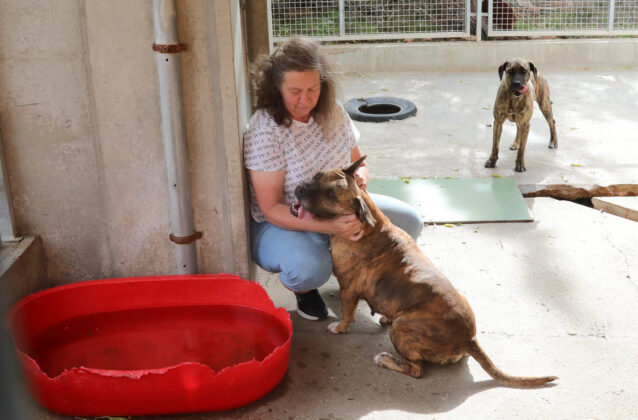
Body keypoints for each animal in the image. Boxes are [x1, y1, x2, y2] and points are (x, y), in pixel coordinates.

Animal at [296, 157, 560, 388]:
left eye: (331, 194)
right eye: (317, 175)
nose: (298, 188)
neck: (368, 225)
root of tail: (468, 338)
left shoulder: (349, 288)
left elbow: (347, 313)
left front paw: (340, 327)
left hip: (403, 328)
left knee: (416, 370)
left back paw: (387, 359)